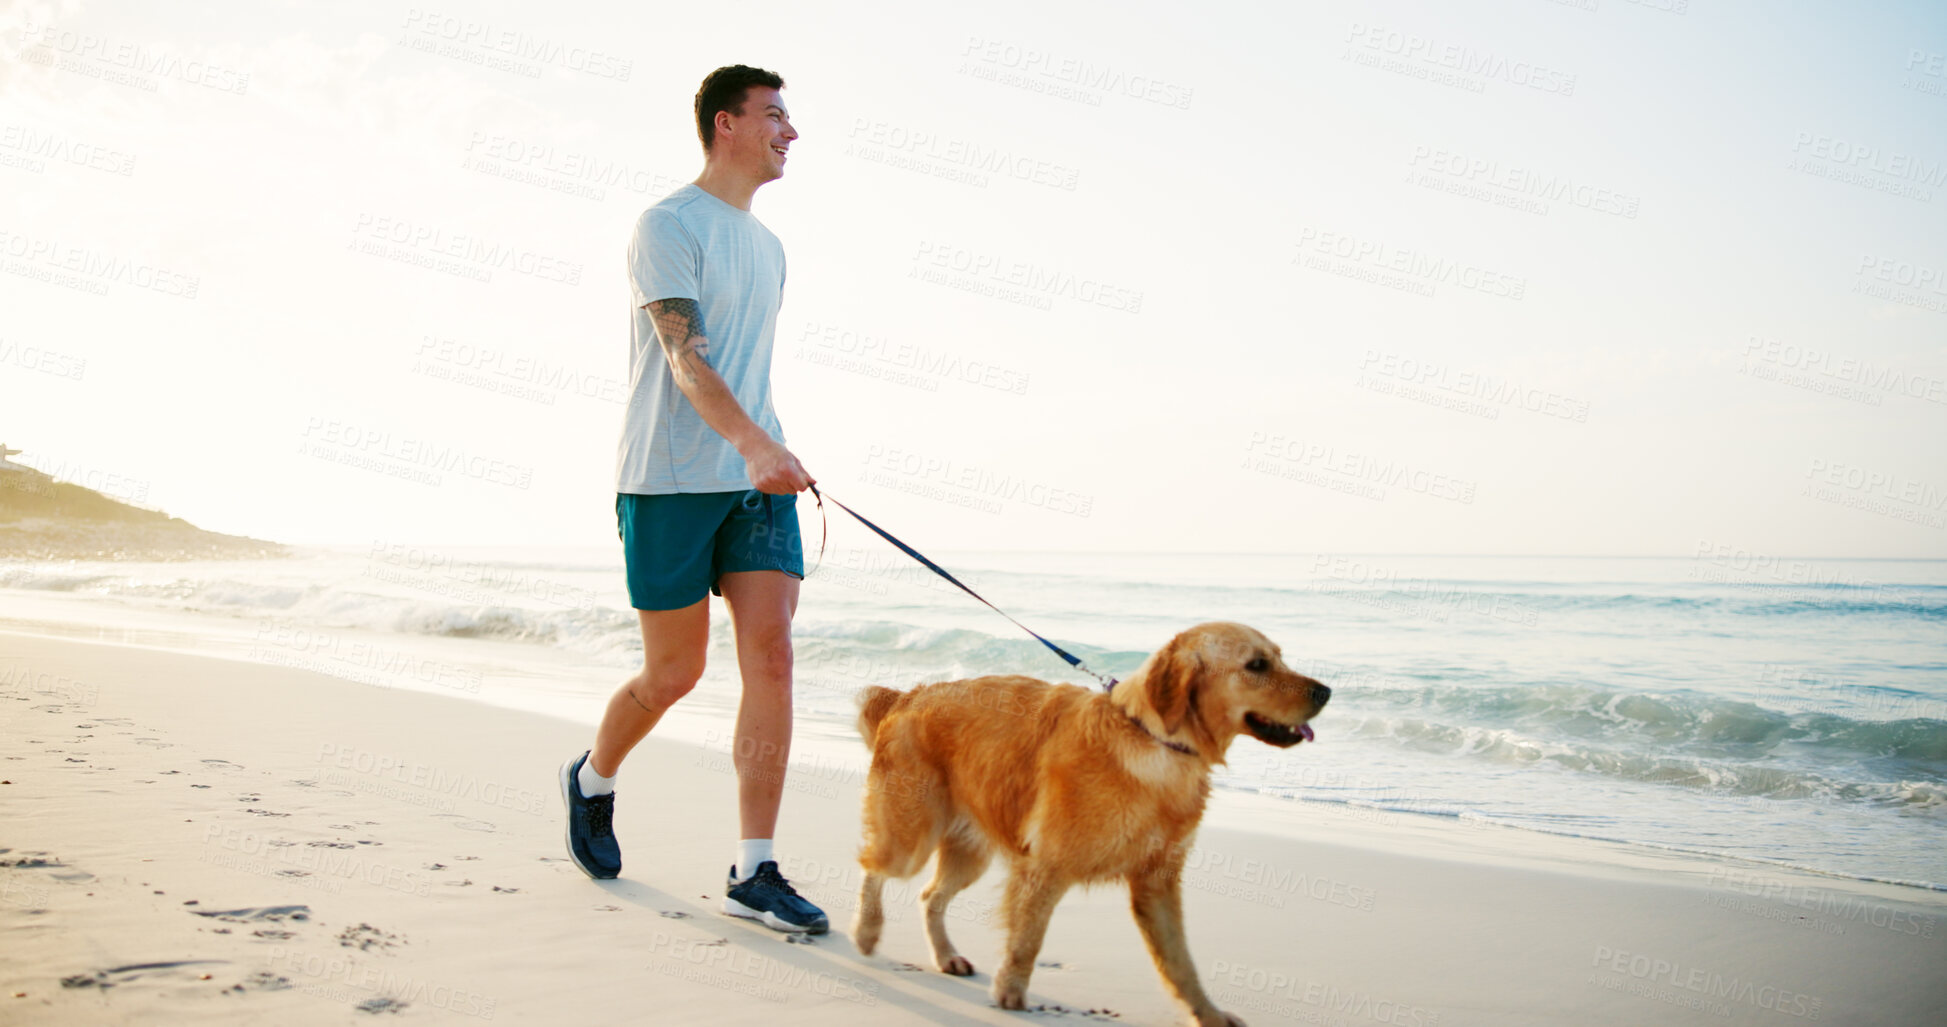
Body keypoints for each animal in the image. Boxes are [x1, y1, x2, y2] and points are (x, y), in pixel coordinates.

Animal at [848, 623, 1323, 1021]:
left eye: (1279, 657)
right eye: (1256, 665)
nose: (1326, 692)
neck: (1155, 743)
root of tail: (908, 697)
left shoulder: (1157, 883)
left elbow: (1181, 963)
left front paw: (1207, 1014)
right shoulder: (1046, 868)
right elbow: (1027, 940)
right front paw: (1010, 993)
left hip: (970, 853)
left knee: (930, 896)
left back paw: (946, 955)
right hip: (910, 839)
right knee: (872, 869)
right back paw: (867, 932)